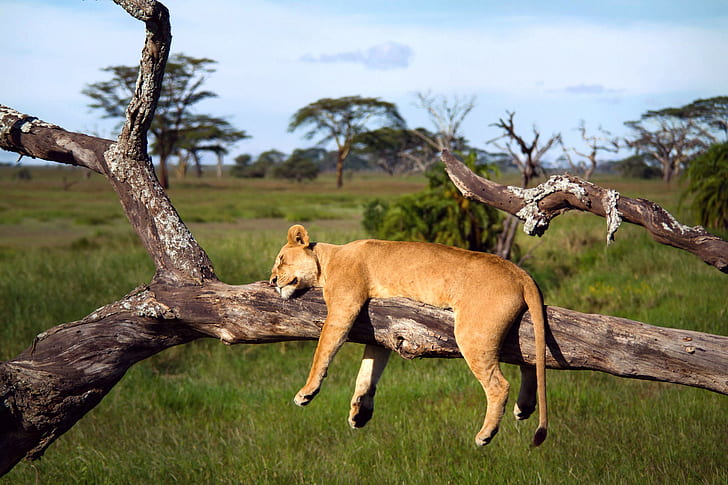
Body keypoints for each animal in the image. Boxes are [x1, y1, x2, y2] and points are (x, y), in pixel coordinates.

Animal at [270, 224, 548, 447]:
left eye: (281, 259)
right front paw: (359, 412)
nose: (272, 281)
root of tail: (520, 272)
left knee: (499, 385)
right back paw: (524, 408)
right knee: (530, 362)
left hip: (473, 332)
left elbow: (323, 350)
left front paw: (306, 392)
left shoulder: (343, 306)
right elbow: (368, 369)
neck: (328, 260)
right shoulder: (381, 331)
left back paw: (485, 434)